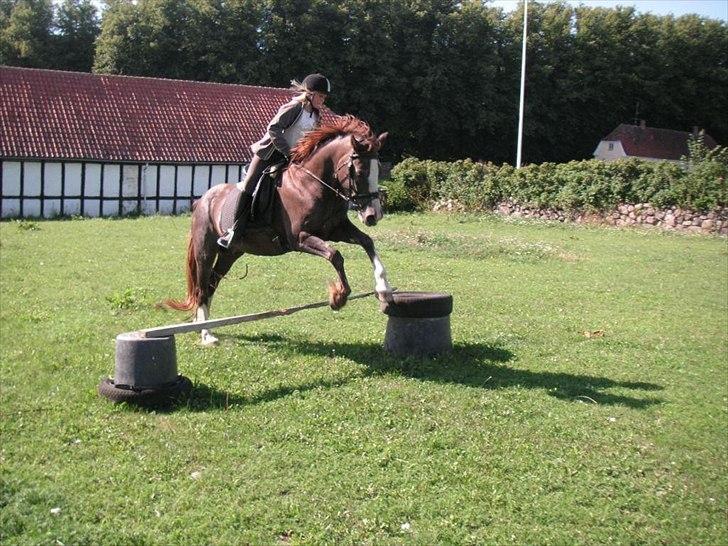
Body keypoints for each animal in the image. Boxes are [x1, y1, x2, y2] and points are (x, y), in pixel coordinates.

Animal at [164, 115, 392, 344]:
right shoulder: (299, 238)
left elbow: (367, 242)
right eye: (360, 172)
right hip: (205, 250)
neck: (312, 185)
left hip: (231, 253)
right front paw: (339, 297)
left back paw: (203, 326)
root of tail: (202, 200)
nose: (373, 215)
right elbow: (335, 255)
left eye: (378, 170)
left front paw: (384, 289)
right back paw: (206, 334)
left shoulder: (336, 230)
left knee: (211, 283)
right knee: (202, 288)